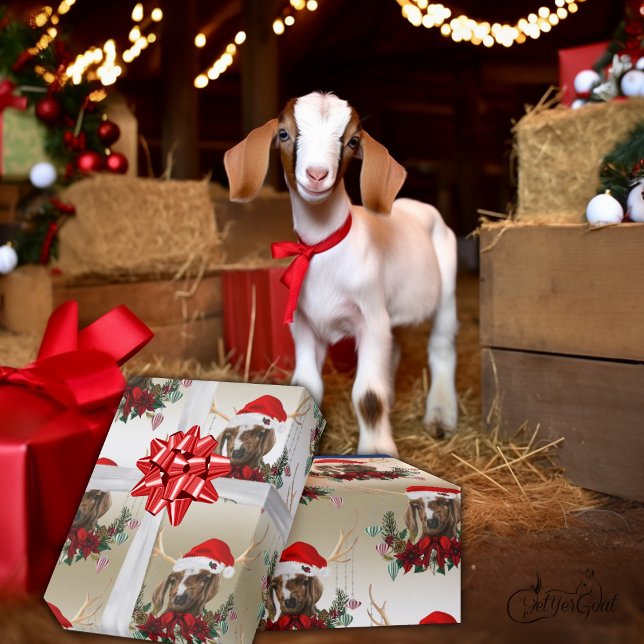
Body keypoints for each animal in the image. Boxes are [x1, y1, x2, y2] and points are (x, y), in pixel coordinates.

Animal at [224, 91, 458, 455]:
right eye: (284, 134)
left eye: (352, 141)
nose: (317, 174)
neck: (323, 250)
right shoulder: (306, 326)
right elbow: (307, 386)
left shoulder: (371, 320)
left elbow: (368, 395)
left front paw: (377, 452)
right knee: (397, 350)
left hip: (446, 289)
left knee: (442, 348)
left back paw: (441, 416)